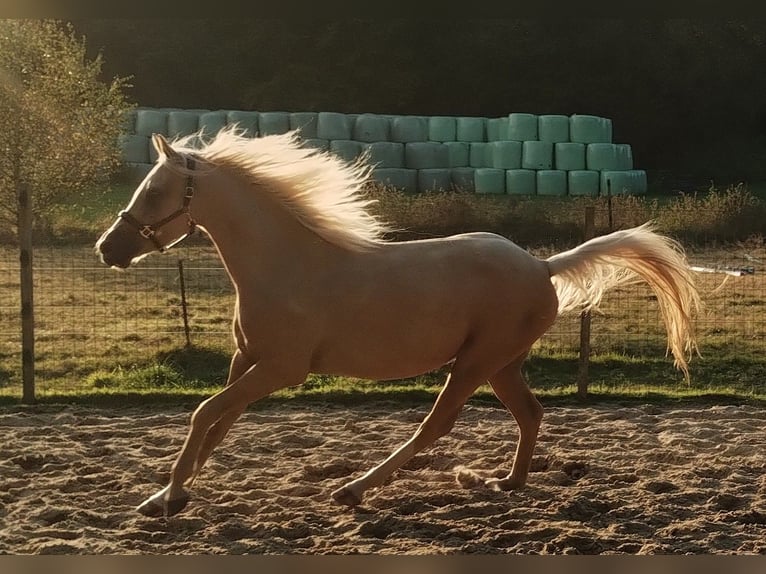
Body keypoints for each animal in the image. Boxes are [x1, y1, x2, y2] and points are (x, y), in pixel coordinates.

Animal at [96, 127, 704, 516]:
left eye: (154, 191)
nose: (108, 249)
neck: (286, 265)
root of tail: (542, 265)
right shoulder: (247, 360)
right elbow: (217, 423)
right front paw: (169, 495)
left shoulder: (281, 369)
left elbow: (203, 414)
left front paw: (168, 498)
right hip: (501, 364)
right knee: (529, 414)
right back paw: (507, 482)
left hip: (475, 363)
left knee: (436, 425)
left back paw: (355, 489)